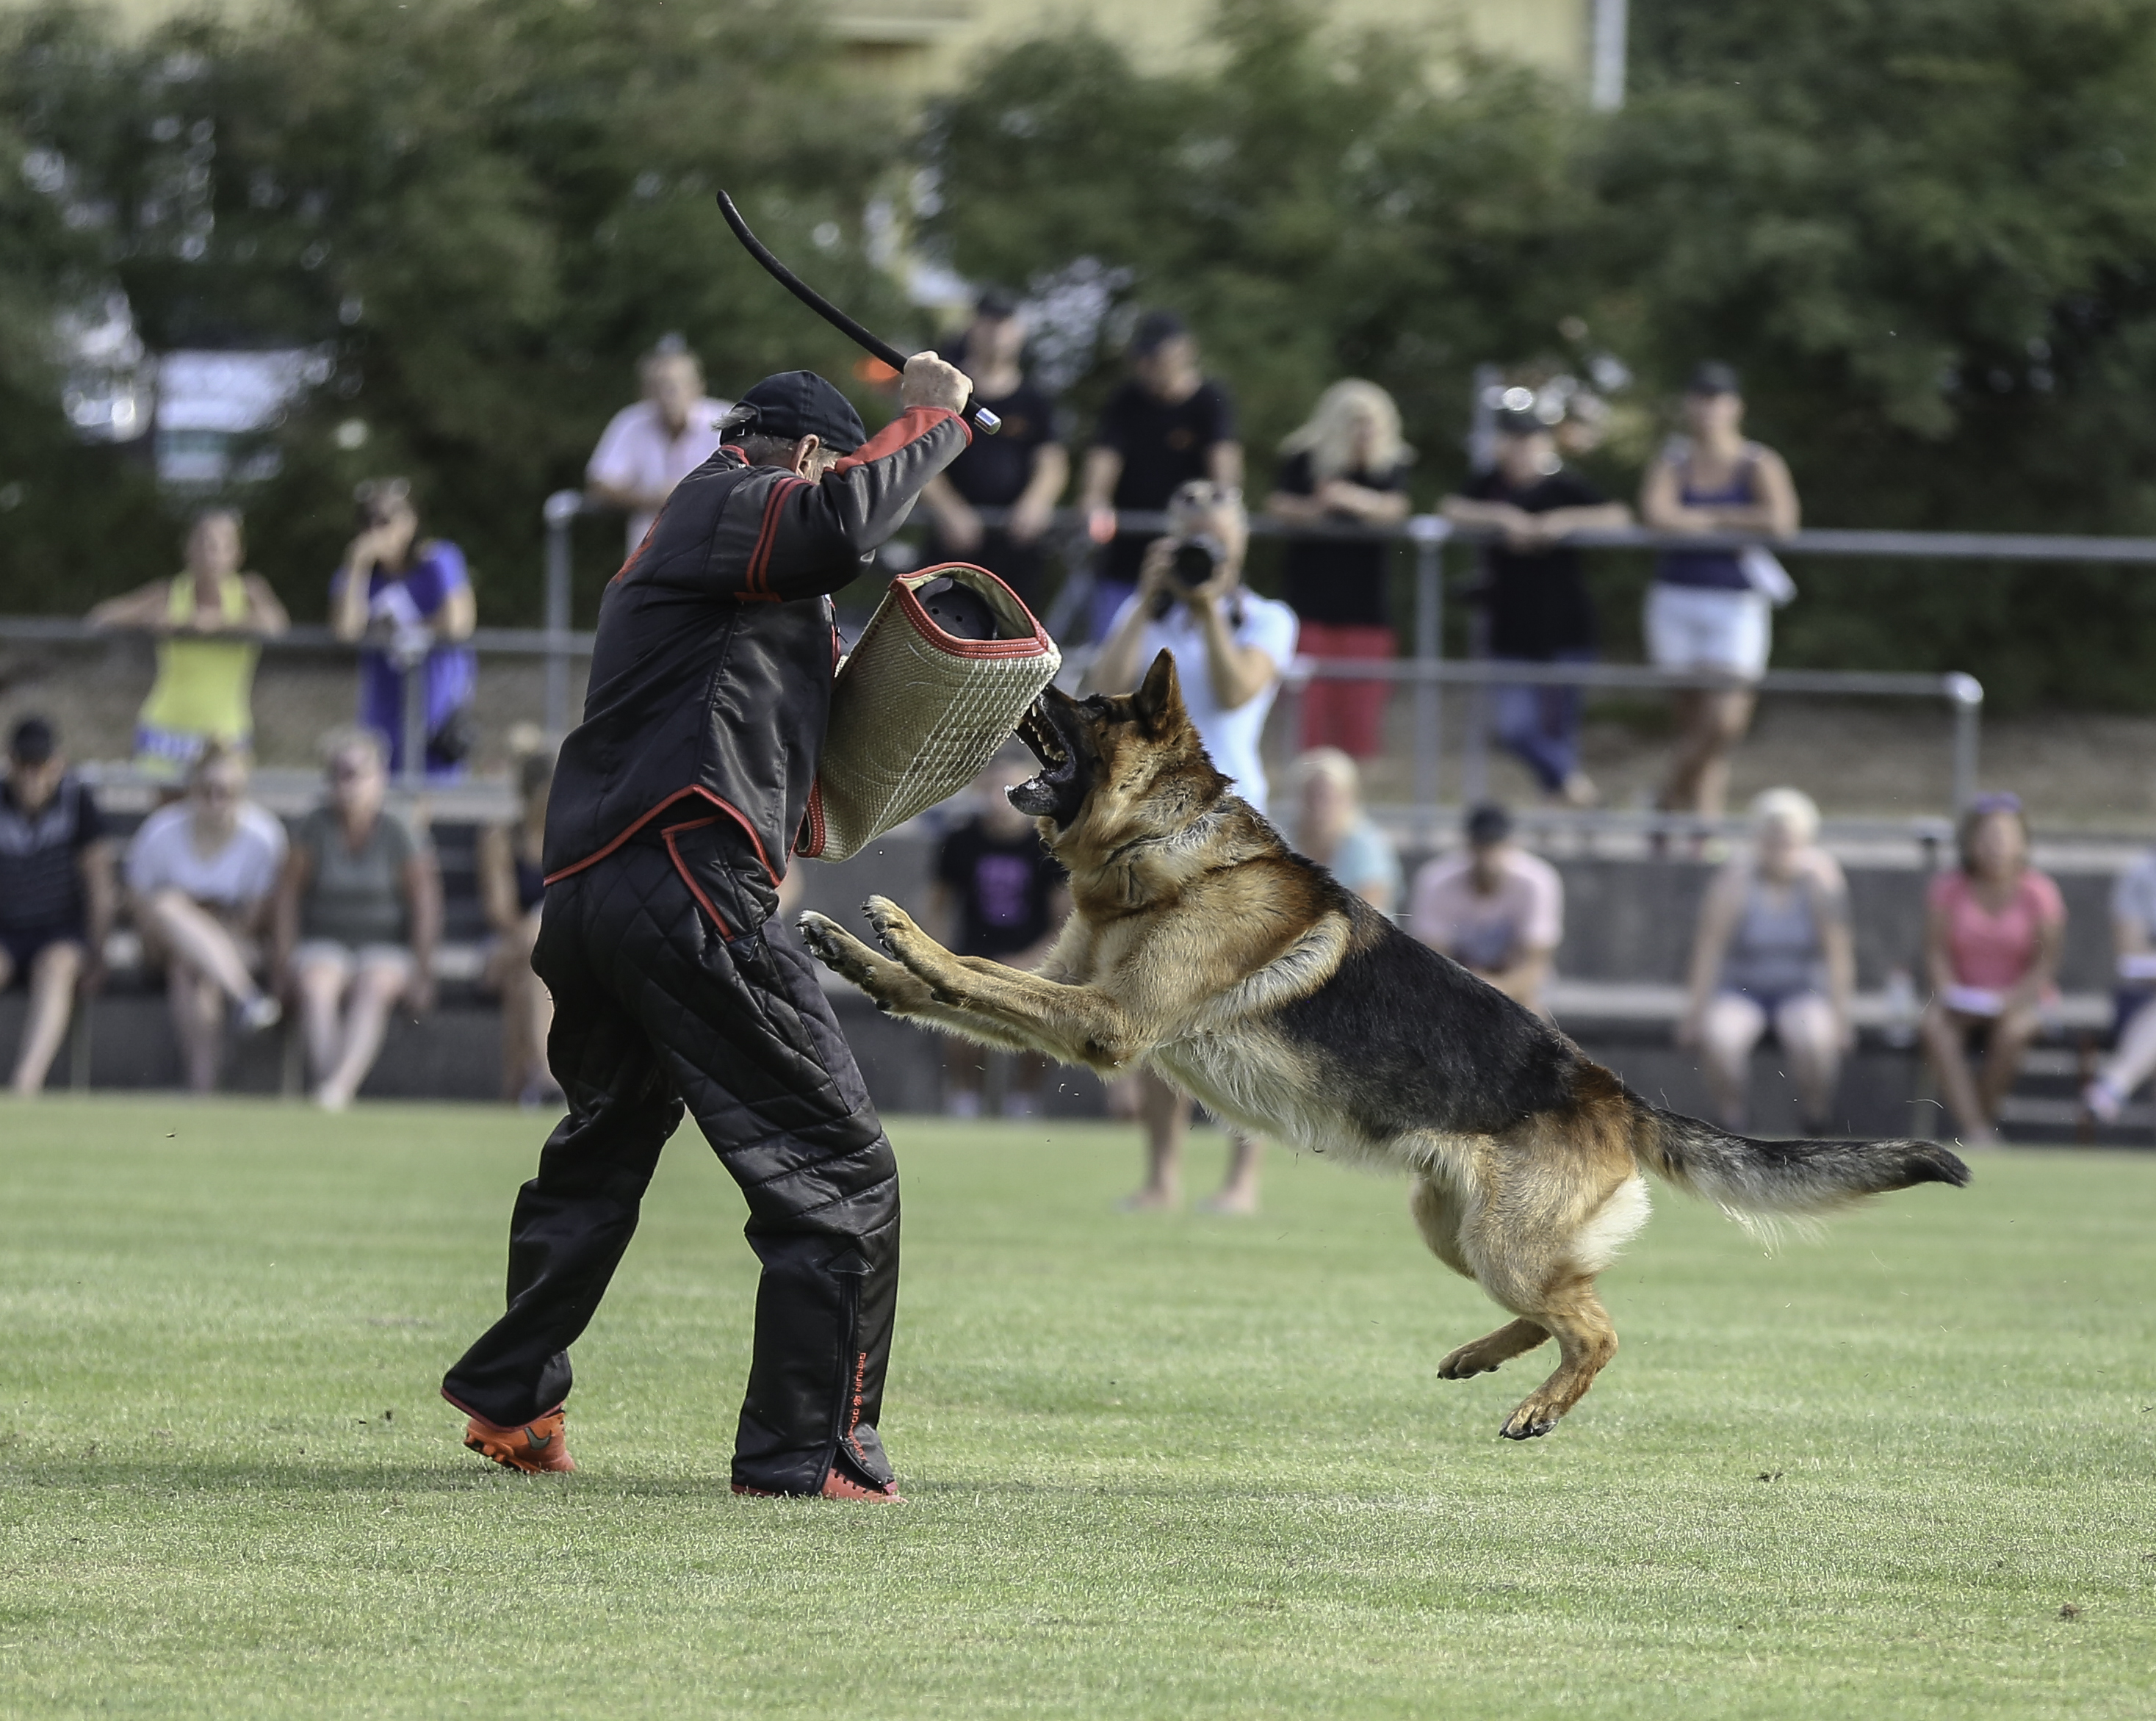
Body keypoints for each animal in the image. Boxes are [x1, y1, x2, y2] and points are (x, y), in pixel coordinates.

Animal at [797, 655, 1975, 1440]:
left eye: (1091, 711)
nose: (1035, 674)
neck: (1166, 846)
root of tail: (1612, 1089)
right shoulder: (1076, 1006)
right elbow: (952, 992)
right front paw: (855, 956)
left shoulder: (1103, 1023)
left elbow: (972, 969)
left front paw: (901, 929)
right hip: (1453, 1231)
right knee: (1567, 1302)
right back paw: (1482, 1357)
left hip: (1497, 1243)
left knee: (1594, 1326)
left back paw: (1538, 1407)